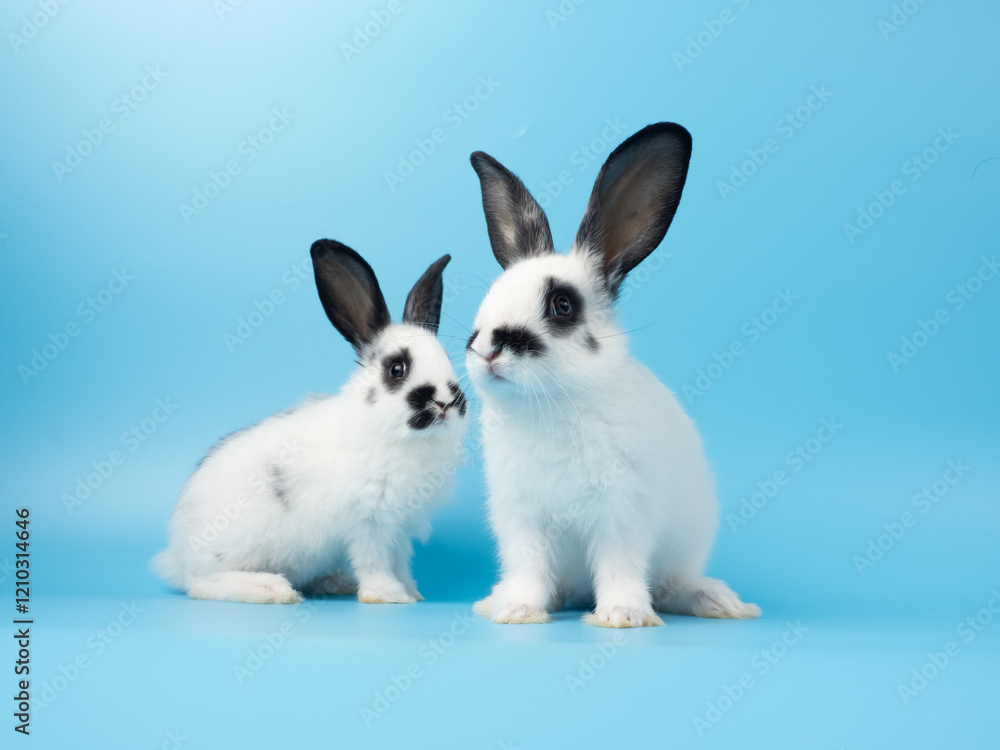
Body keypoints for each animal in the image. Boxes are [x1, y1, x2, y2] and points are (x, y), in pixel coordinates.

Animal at [152, 240, 468, 605]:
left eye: (446, 361)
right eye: (396, 369)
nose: (446, 403)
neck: (386, 430)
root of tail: (177, 554)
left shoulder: (400, 528)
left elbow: (400, 562)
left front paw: (411, 593)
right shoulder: (369, 523)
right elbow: (374, 561)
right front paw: (387, 594)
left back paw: (336, 582)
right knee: (202, 583)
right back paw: (271, 589)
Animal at [464, 122, 760, 627]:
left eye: (562, 305)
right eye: (491, 296)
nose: (487, 349)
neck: (551, 405)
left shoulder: (622, 513)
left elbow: (619, 564)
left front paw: (622, 616)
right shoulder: (523, 520)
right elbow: (530, 569)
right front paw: (519, 611)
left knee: (671, 585)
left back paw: (718, 602)